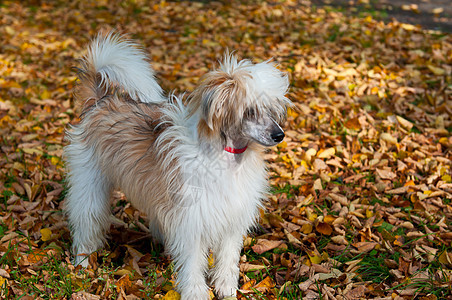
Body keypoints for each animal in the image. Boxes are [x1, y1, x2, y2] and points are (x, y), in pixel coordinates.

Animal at [65, 31, 292, 298]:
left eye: (271, 110)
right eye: (250, 111)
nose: (279, 135)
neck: (226, 156)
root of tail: (99, 101)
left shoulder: (231, 218)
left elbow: (227, 258)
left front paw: (226, 287)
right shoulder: (191, 221)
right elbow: (193, 261)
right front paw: (195, 291)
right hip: (89, 188)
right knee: (86, 222)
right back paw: (82, 262)